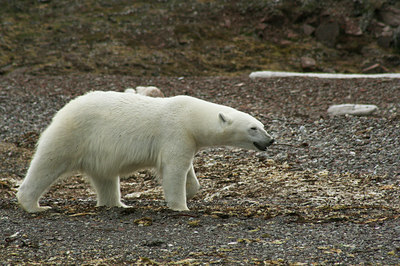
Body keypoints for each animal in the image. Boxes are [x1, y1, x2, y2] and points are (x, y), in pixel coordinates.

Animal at [18, 91, 276, 212]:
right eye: (253, 128)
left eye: (261, 125)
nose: (271, 139)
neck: (191, 117)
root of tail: (63, 110)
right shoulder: (175, 132)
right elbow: (174, 170)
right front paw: (180, 205)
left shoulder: (187, 139)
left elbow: (188, 171)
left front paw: (191, 190)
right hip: (75, 134)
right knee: (48, 163)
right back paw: (34, 205)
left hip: (98, 150)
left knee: (105, 178)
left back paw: (118, 205)